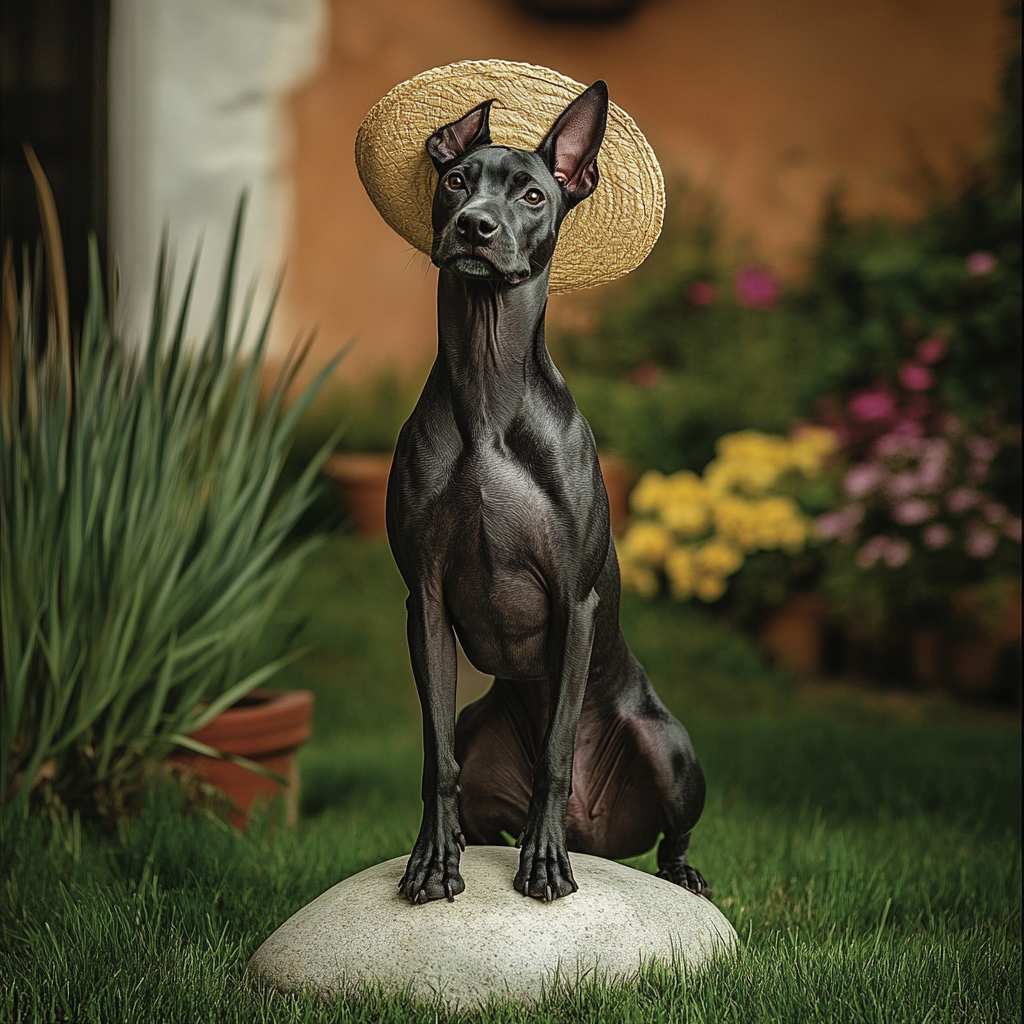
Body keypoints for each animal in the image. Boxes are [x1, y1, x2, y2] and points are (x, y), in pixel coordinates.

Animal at [387, 83, 708, 909]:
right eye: (456, 180)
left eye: (534, 194)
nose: (475, 226)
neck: (488, 385)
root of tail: (598, 829)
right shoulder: (424, 601)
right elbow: (435, 757)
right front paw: (431, 860)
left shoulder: (574, 599)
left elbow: (557, 750)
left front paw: (543, 862)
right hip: (482, 729)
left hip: (670, 750)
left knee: (672, 832)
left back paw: (671, 868)